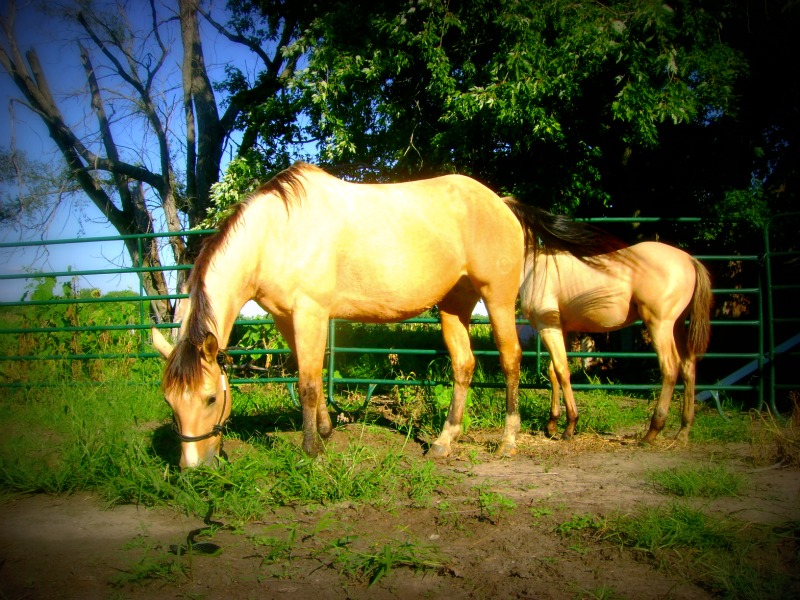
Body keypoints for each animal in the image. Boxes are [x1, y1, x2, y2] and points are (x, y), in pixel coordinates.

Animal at [152, 164, 528, 468]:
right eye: (169, 401)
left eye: (211, 398)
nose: (194, 467)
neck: (275, 234)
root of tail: (501, 203)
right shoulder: (286, 319)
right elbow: (312, 376)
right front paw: (325, 430)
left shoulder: (311, 313)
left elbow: (307, 384)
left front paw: (312, 450)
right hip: (454, 305)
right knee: (464, 365)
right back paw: (444, 441)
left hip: (497, 298)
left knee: (510, 358)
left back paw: (508, 442)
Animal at [510, 209, 708, 442]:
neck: (535, 267)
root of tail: (689, 259)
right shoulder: (560, 328)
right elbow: (554, 372)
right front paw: (551, 425)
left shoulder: (547, 327)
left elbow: (561, 370)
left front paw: (569, 427)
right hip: (677, 326)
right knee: (688, 366)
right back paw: (683, 431)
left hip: (660, 325)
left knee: (670, 368)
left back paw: (651, 432)